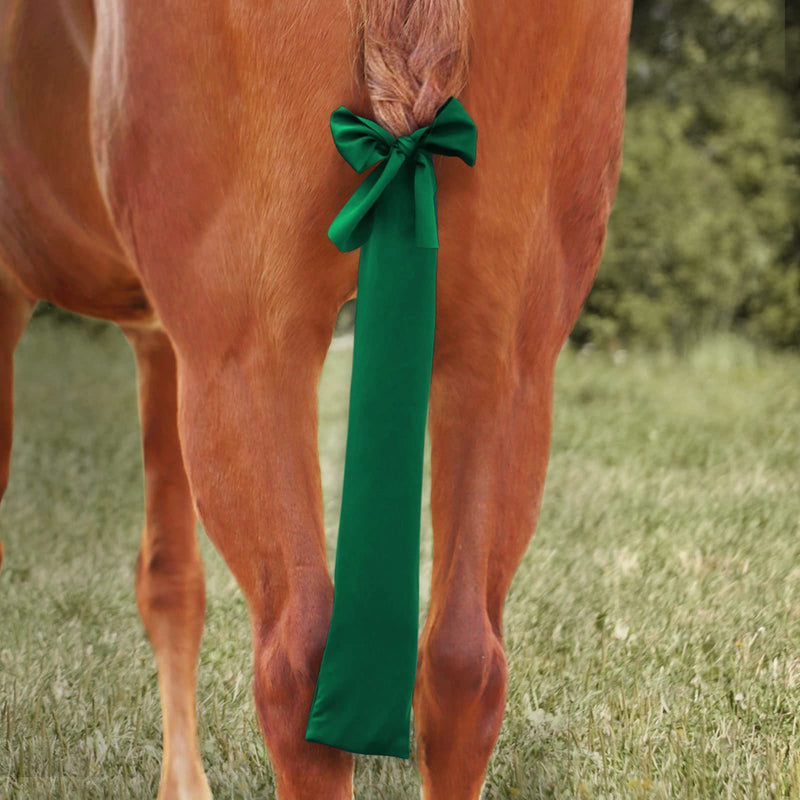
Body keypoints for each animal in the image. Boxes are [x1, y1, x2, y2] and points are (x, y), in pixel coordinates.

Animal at [0, 1, 632, 797]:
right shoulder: (158, 340)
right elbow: (171, 581)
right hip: (505, 359)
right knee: (464, 664)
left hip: (246, 358)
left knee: (297, 666)